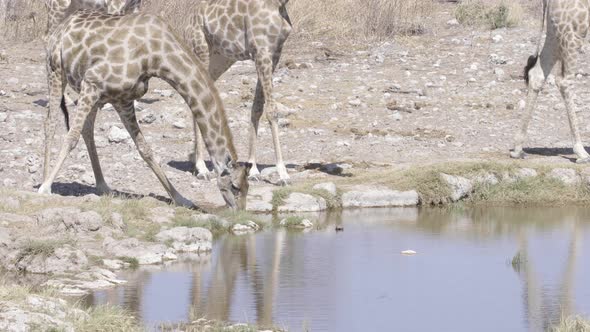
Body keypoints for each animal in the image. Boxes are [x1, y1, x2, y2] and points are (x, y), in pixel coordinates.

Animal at [40, 11, 251, 210]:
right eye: (235, 186)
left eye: (248, 187)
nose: (239, 210)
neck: (156, 57)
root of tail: (61, 28)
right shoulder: (93, 82)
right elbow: (71, 137)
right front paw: (45, 187)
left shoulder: (122, 99)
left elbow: (145, 150)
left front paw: (181, 198)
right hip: (56, 71)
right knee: (51, 123)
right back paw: (44, 180)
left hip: (89, 92)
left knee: (87, 129)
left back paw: (103, 185)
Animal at [186, 0, 292, 184]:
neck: (279, 4)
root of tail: (191, 17)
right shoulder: (262, 51)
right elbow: (272, 111)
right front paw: (282, 173)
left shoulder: (273, 54)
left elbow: (257, 108)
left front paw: (254, 169)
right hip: (201, 49)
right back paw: (202, 168)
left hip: (222, 58)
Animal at [512, 0, 590, 161]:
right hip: (574, 29)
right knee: (564, 81)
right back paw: (581, 151)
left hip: (554, 29)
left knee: (537, 74)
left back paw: (518, 148)